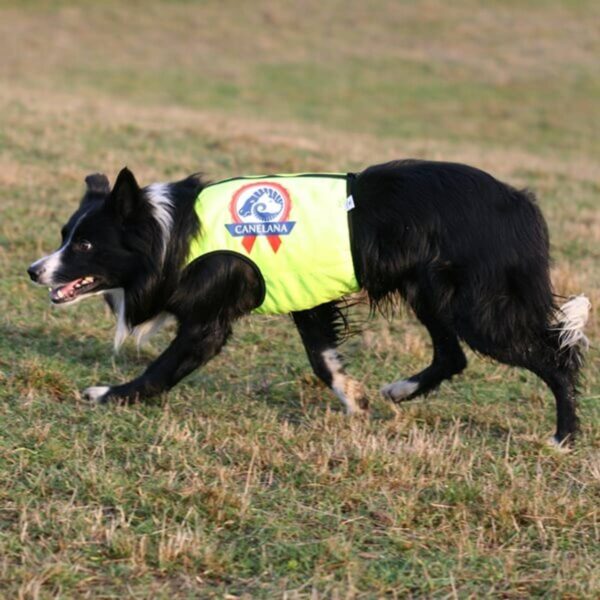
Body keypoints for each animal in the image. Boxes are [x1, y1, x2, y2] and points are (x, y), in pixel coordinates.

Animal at [28, 159, 592, 446]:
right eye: (64, 236)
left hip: (478, 308)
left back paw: (564, 436)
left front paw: (107, 395)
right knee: (452, 356)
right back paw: (401, 390)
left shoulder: (209, 320)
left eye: (84, 246)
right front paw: (354, 399)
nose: (33, 271)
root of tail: (522, 204)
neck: (172, 235)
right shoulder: (305, 295)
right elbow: (323, 359)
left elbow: (160, 371)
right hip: (431, 292)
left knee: (557, 358)